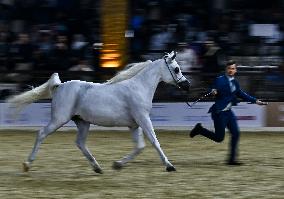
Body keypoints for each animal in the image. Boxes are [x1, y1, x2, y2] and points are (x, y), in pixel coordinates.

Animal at [7, 51, 191, 173]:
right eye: (176, 69)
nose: (187, 85)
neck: (139, 88)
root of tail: (59, 86)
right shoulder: (143, 119)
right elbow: (154, 142)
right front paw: (169, 166)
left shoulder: (134, 125)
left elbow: (139, 146)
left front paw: (117, 164)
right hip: (59, 119)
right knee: (41, 133)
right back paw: (27, 164)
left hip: (82, 122)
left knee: (80, 143)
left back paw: (97, 167)